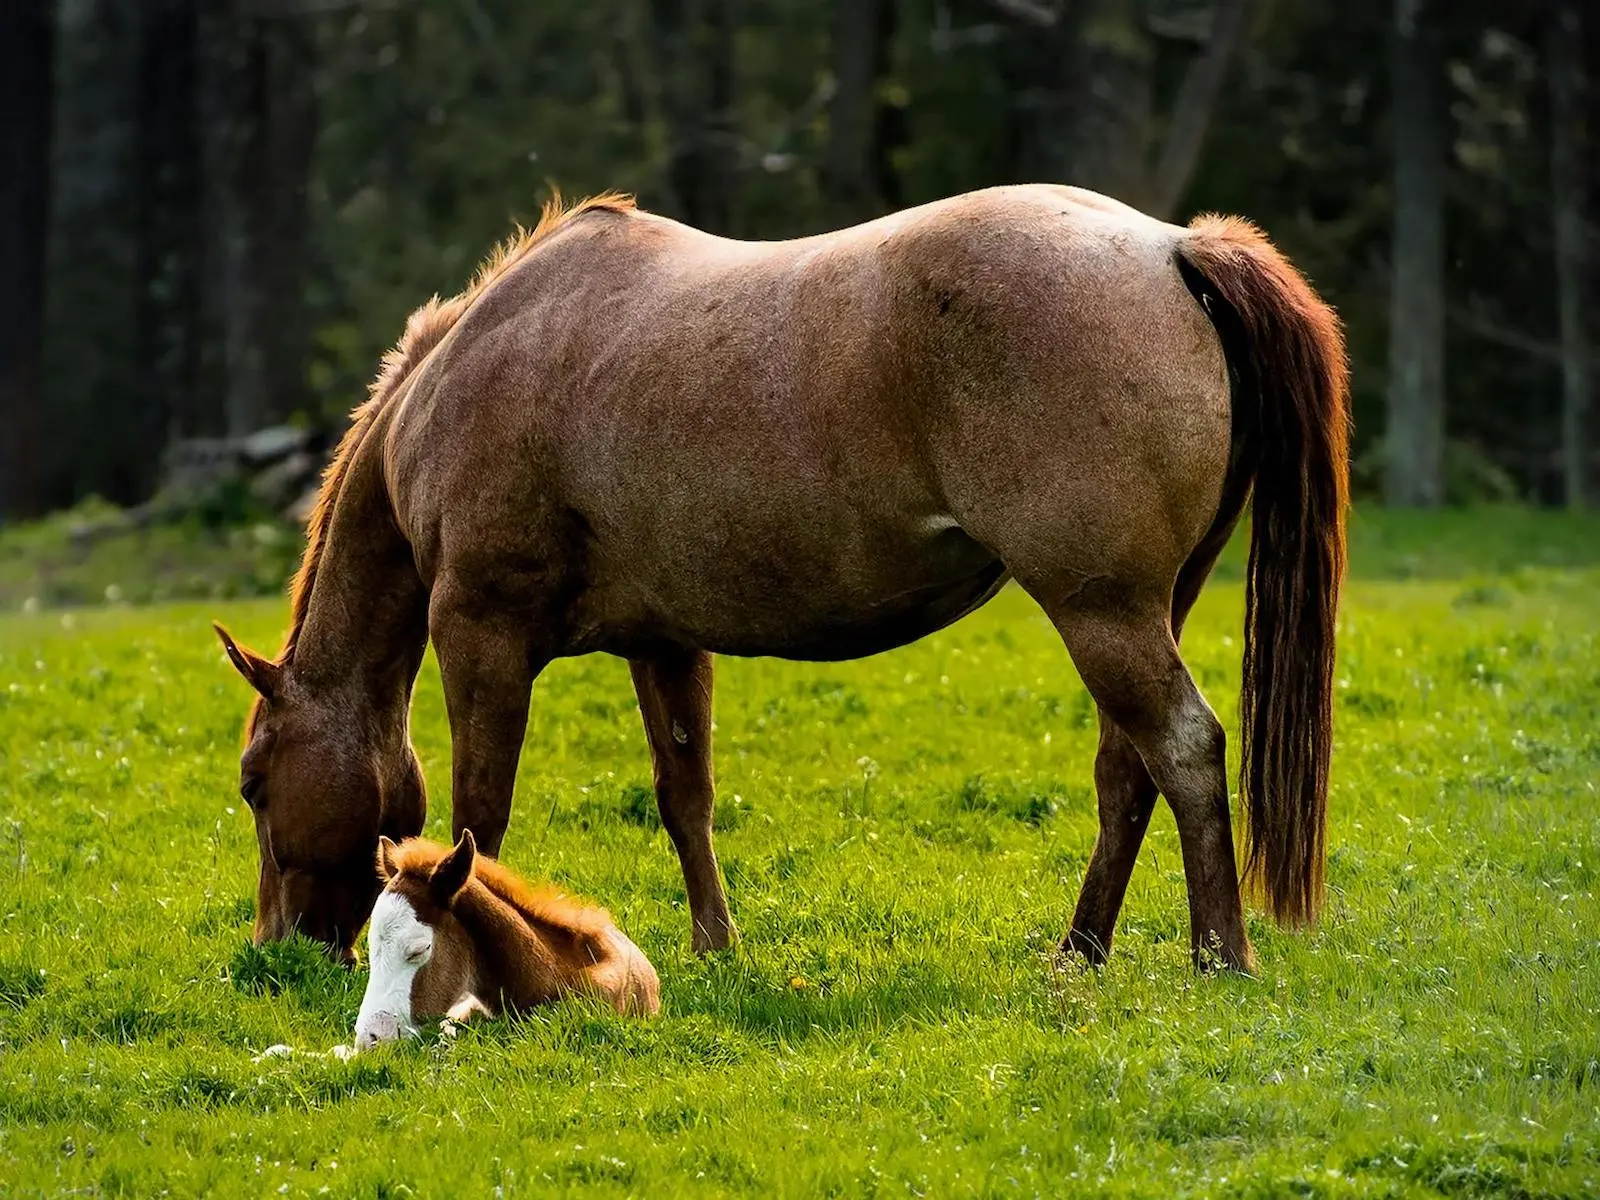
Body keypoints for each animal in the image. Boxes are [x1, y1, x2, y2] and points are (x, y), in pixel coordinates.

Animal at [209, 185, 1337, 979]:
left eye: (254, 781)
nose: (278, 951)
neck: (462, 381)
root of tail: (1171, 247)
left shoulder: (482, 635)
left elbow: (480, 816)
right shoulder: (663, 643)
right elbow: (684, 798)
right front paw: (716, 947)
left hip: (1100, 611)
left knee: (1184, 750)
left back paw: (1219, 957)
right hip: (1144, 609)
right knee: (1128, 771)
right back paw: (1082, 950)